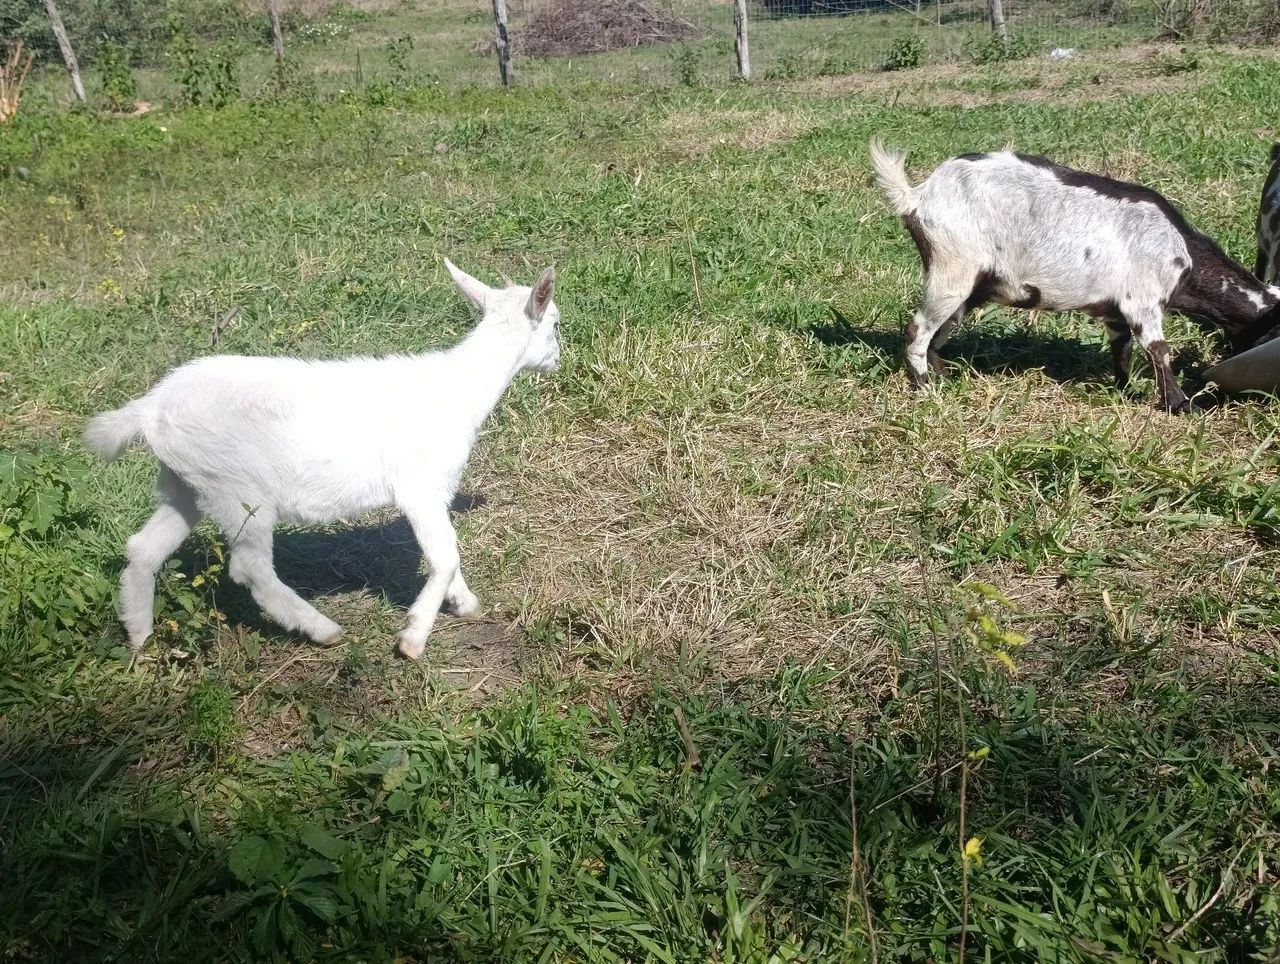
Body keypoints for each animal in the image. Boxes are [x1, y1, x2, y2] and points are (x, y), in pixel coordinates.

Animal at [84, 259, 560, 660]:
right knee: (249, 568)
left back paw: (140, 637)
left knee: (144, 548)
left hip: (187, 482)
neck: (459, 389)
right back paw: (321, 629)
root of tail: (150, 410)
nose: (558, 359)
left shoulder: (434, 494)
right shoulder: (420, 488)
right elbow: (445, 556)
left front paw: (465, 604)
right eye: (555, 323)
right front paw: (413, 638)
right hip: (238, 489)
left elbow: (448, 553)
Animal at [870, 139, 1280, 412]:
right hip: (952, 268)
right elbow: (1158, 351)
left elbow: (1122, 349)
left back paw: (943, 376)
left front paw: (1125, 390)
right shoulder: (1142, 301)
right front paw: (1181, 406)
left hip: (971, 285)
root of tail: (917, 197)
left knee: (941, 328)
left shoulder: (1116, 311)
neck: (1182, 252)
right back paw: (924, 388)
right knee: (918, 328)